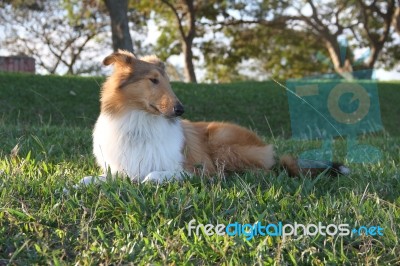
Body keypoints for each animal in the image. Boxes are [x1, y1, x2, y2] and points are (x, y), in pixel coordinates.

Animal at [83, 49, 346, 185]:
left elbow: (151, 175)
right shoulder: (118, 170)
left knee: (264, 171)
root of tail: (268, 149)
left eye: (168, 82)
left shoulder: (194, 168)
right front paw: (79, 183)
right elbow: (94, 178)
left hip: (221, 140)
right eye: (153, 80)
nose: (180, 110)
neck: (141, 123)